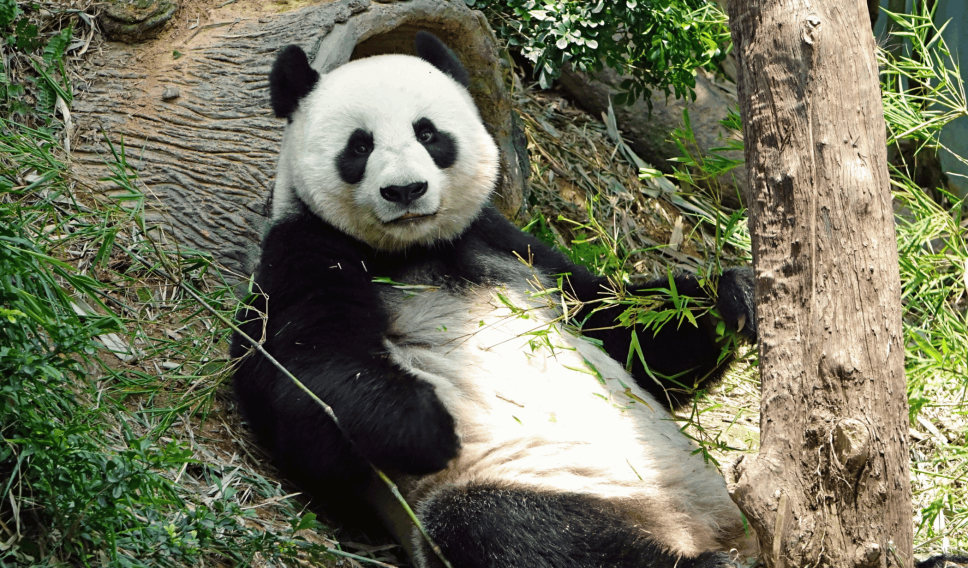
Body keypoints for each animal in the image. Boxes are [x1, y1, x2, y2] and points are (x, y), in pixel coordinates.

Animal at [231, 32, 761, 568]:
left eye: (428, 134)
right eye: (359, 146)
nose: (406, 190)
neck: (415, 249)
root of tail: (686, 527)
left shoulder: (513, 248)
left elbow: (629, 333)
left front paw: (737, 296)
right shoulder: (306, 249)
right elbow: (299, 378)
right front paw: (427, 427)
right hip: (537, 478)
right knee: (511, 528)